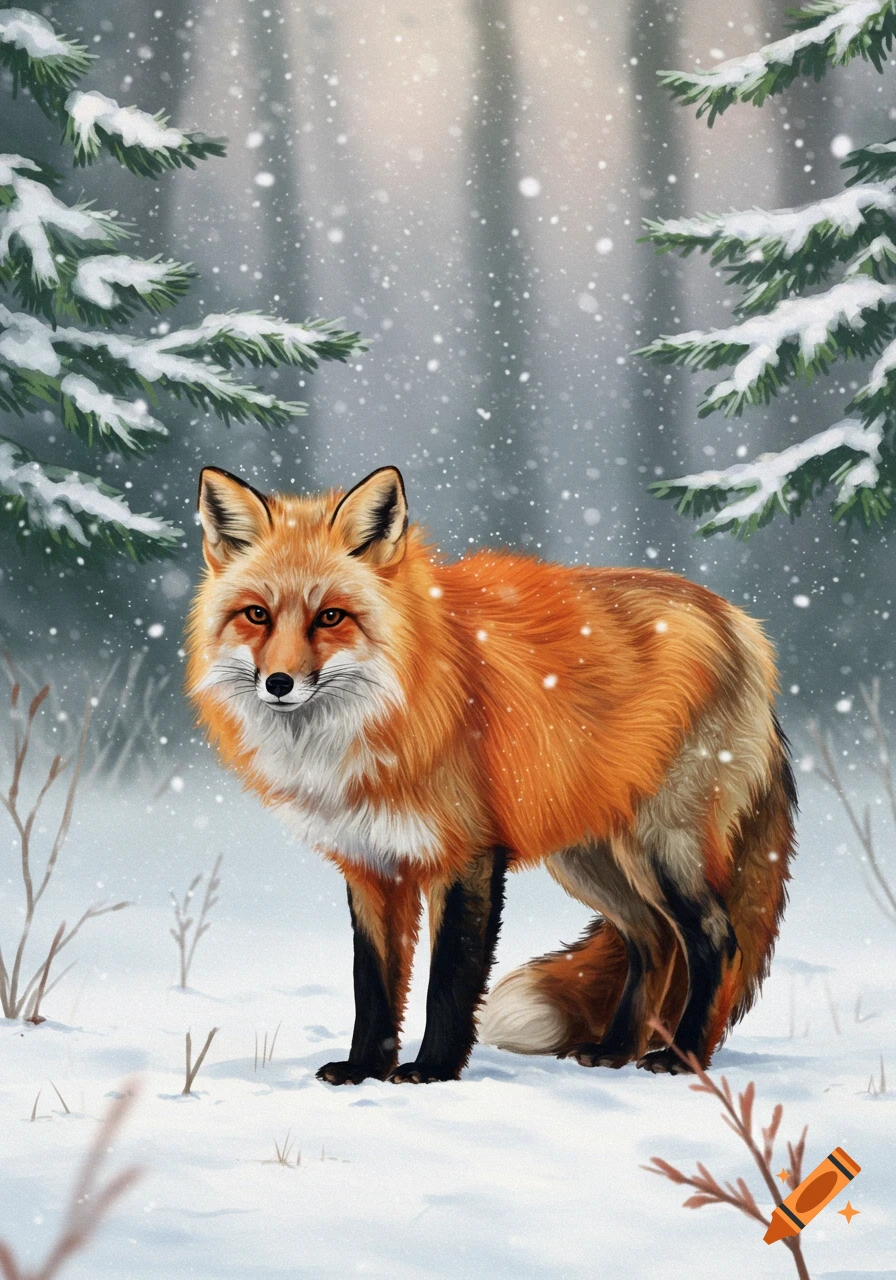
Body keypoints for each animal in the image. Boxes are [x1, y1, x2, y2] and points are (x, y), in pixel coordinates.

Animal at [186, 463, 797, 1085]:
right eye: (257, 614)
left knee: (714, 940)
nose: (278, 683)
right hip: (588, 858)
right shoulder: (372, 864)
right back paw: (615, 1050)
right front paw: (363, 1070)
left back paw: (681, 1056)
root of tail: (742, 626)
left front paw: (432, 1070)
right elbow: (373, 983)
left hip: (662, 849)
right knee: (653, 942)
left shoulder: (467, 852)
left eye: (330, 616)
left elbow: (449, 980)